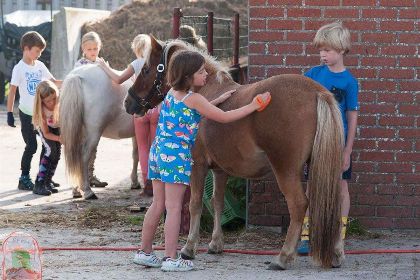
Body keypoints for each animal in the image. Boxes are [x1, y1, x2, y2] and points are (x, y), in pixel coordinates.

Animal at [124, 35, 344, 270]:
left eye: (146, 69)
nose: (128, 103)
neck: (205, 90)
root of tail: (317, 92)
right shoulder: (220, 170)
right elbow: (217, 202)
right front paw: (216, 243)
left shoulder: (198, 165)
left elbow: (195, 204)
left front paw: (189, 248)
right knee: (334, 201)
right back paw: (336, 254)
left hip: (286, 170)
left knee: (298, 204)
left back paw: (283, 257)